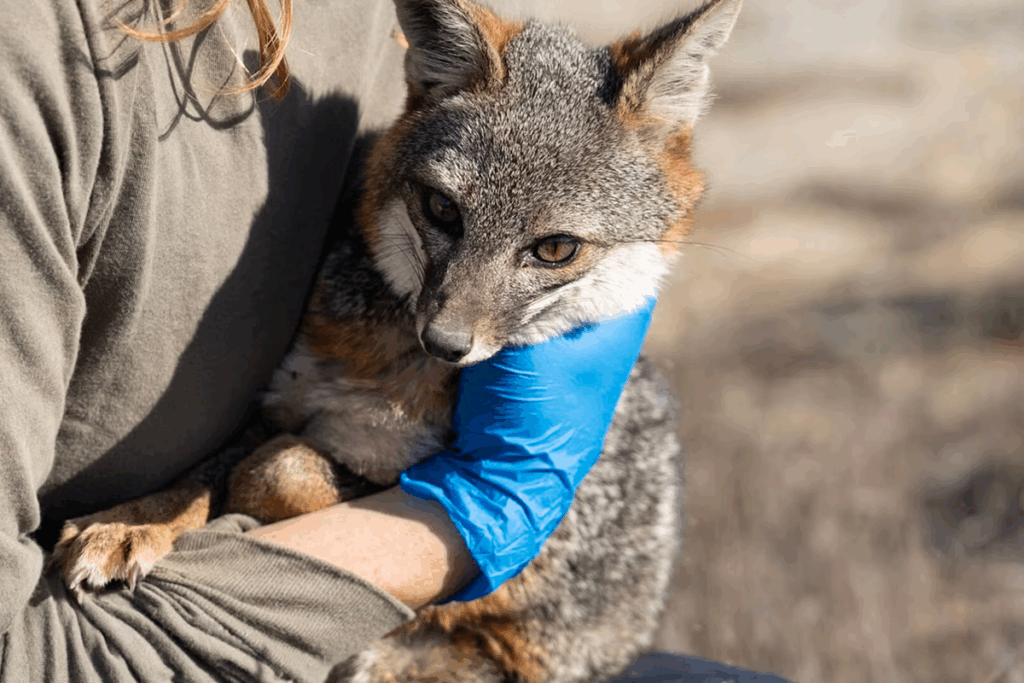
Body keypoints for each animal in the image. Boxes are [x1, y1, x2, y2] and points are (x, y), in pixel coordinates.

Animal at [49, 0, 741, 681]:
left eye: (555, 250)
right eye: (442, 209)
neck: (388, 373)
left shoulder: (468, 505)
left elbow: (276, 470)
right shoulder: (281, 405)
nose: (445, 341)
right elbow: (206, 471)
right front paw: (131, 521)